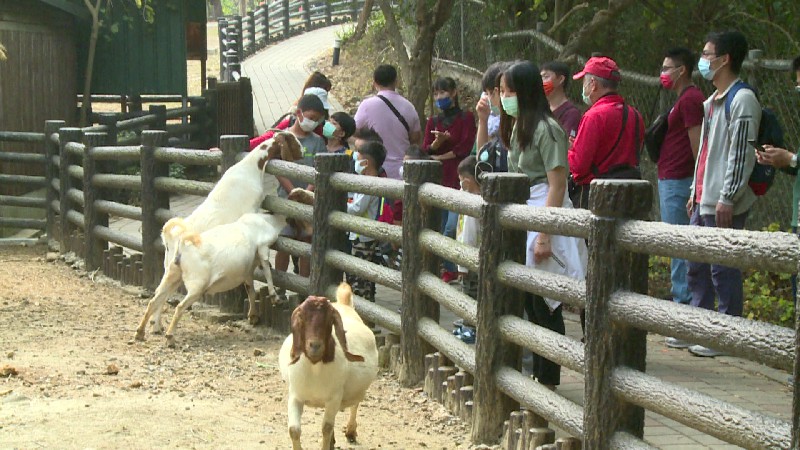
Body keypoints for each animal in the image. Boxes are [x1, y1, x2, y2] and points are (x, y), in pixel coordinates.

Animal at [136, 213, 286, 346]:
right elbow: (266, 269)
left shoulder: (248, 271)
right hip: (196, 286)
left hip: (172, 276)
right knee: (179, 307)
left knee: (155, 300)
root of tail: (183, 245)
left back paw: (140, 332)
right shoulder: (263, 246)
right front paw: (275, 297)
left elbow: (251, 291)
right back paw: (170, 338)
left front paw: (253, 316)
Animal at [280, 284, 380, 450]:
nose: (315, 345)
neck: (315, 368)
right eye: (302, 317)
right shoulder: (295, 396)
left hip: (356, 391)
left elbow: (326, 428)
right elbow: (294, 430)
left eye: (329, 320)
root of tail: (345, 304)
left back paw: (350, 432)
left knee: (355, 405)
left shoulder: (334, 398)